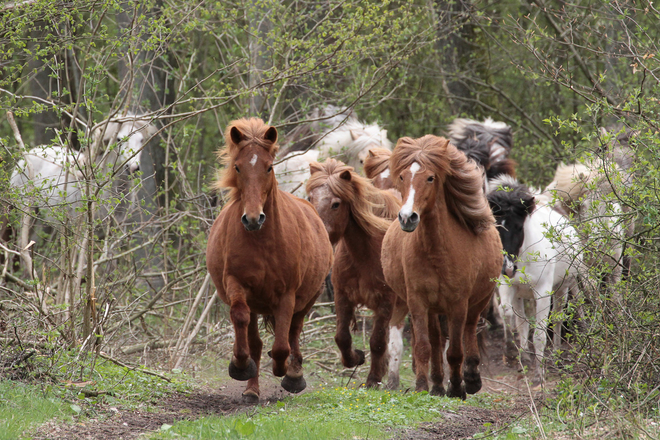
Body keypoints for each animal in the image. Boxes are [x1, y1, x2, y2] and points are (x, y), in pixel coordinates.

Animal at [206, 117, 332, 402]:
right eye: (238, 167)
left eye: (269, 167)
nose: (253, 219)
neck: (262, 242)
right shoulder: (236, 284)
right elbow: (241, 319)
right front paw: (240, 365)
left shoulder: (287, 294)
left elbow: (283, 343)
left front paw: (284, 368)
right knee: (255, 338)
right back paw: (252, 389)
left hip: (309, 297)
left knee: (294, 331)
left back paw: (293, 374)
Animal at [306, 160, 402, 386]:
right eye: (310, 198)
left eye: (336, 204)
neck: (365, 253)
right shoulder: (343, 296)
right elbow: (342, 337)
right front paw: (356, 357)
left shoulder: (386, 301)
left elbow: (377, 341)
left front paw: (373, 379)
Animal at [378, 136, 502, 400]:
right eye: (402, 176)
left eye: (430, 178)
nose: (407, 218)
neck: (437, 252)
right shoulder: (418, 302)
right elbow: (424, 346)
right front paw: (423, 386)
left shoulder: (458, 304)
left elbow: (455, 350)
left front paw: (456, 388)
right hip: (434, 308)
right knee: (435, 341)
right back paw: (436, 384)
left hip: (478, 301)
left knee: (469, 330)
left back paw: (471, 378)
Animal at [488, 174, 580, 382]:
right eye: (496, 227)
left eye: (518, 227)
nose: (507, 268)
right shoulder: (508, 286)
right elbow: (507, 313)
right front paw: (511, 353)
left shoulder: (543, 292)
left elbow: (539, 333)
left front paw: (540, 372)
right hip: (520, 294)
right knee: (522, 321)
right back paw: (524, 357)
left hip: (562, 288)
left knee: (557, 318)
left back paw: (554, 354)